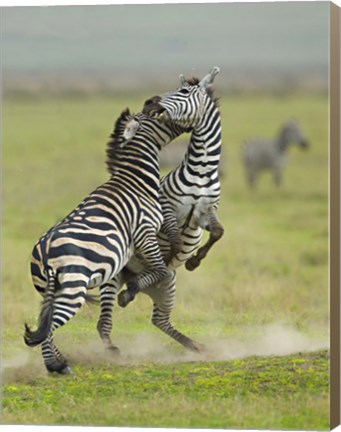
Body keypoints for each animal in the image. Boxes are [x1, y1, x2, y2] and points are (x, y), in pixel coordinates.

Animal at [23, 107, 189, 372]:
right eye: (155, 116)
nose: (167, 111)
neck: (136, 182)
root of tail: (46, 251)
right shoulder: (145, 233)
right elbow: (162, 270)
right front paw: (131, 291)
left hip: (47, 289)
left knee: (45, 322)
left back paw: (59, 361)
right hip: (73, 288)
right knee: (50, 325)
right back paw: (55, 366)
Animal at [94, 66, 222, 352]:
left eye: (183, 91)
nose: (150, 101)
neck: (201, 169)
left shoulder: (206, 212)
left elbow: (218, 232)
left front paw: (194, 261)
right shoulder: (167, 206)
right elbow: (174, 236)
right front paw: (179, 253)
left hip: (168, 286)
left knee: (159, 320)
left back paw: (195, 346)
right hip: (115, 277)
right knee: (107, 319)